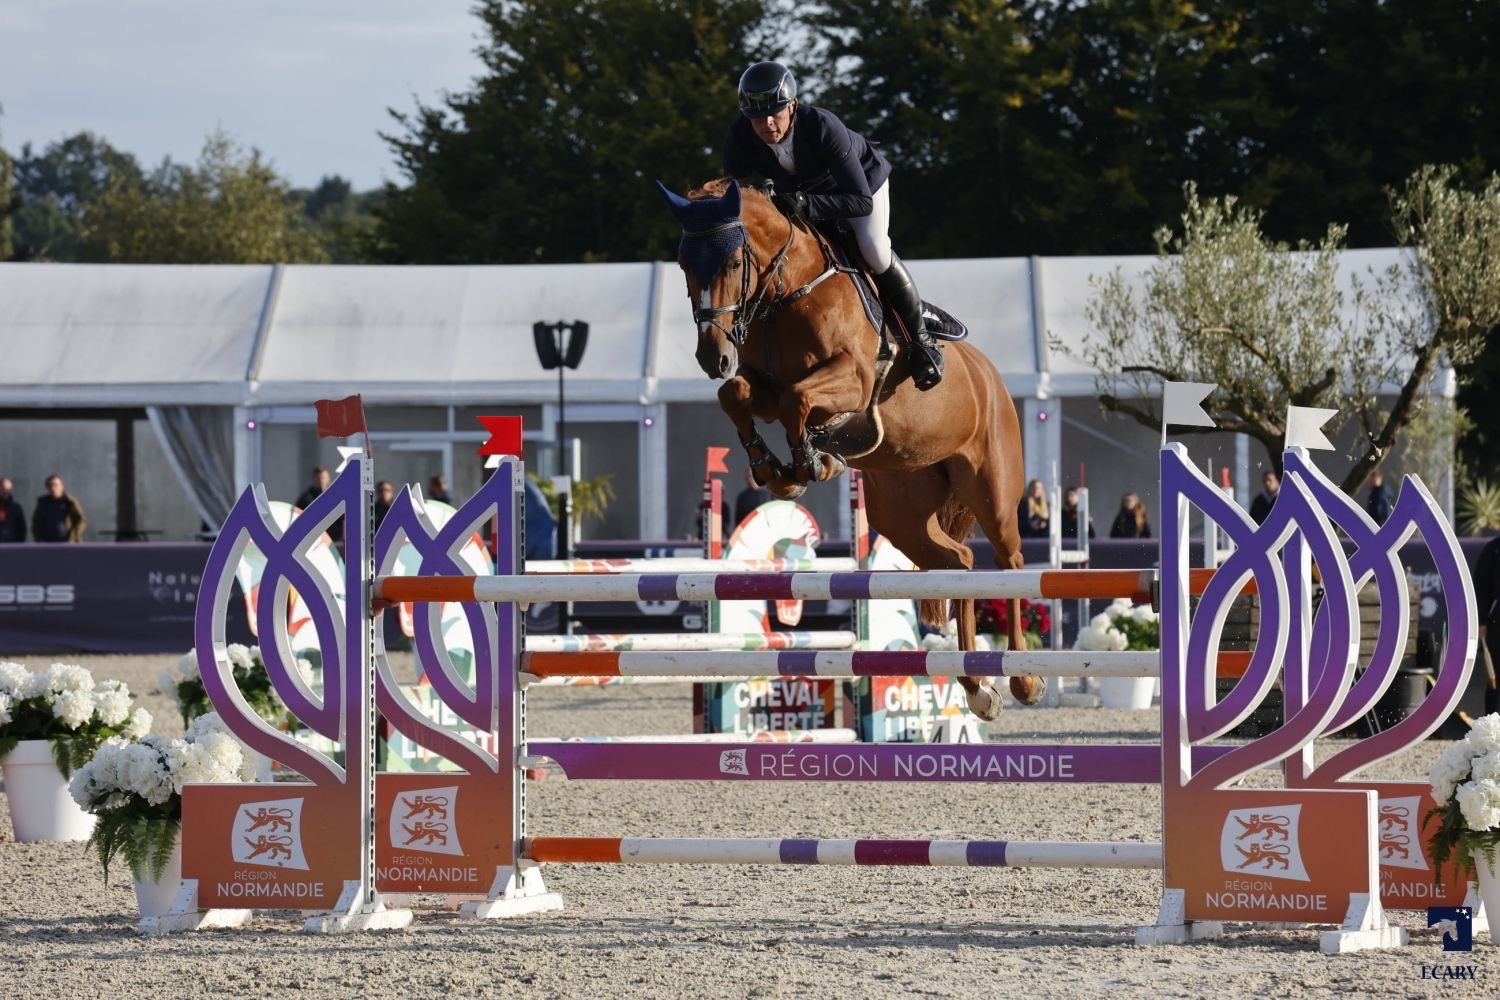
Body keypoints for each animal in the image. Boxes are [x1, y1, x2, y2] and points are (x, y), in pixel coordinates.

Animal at [657, 176, 1044, 716]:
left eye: (734, 263)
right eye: (684, 265)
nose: (712, 356)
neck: (786, 295)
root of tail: (990, 375)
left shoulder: (853, 380)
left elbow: (799, 400)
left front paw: (812, 462)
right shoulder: (763, 386)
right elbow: (736, 395)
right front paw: (775, 468)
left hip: (993, 489)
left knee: (1009, 565)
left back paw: (1024, 680)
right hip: (901, 512)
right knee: (960, 564)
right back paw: (976, 687)